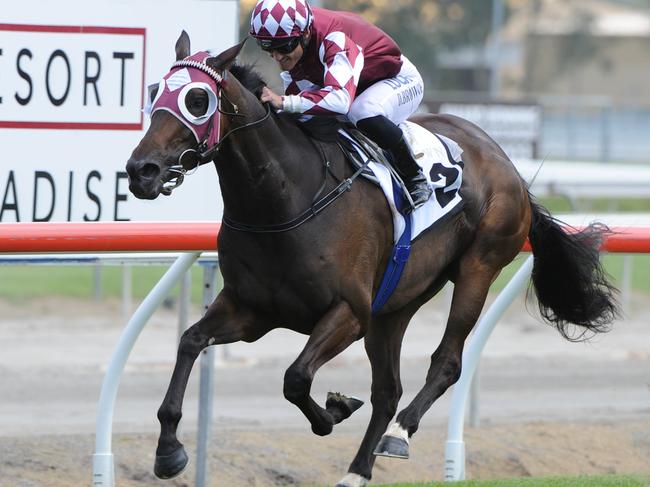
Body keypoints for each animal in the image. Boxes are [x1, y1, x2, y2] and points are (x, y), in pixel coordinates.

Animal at [124, 31, 616, 487]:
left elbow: (296, 377)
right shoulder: (252, 311)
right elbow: (190, 341)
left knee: (446, 362)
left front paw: (335, 411)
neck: (285, 198)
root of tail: (506, 162)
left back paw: (398, 434)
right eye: (154, 91)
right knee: (388, 389)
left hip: (479, 265)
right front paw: (168, 451)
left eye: (197, 99)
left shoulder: (349, 312)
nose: (140, 171)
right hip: (395, 305)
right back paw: (357, 470)